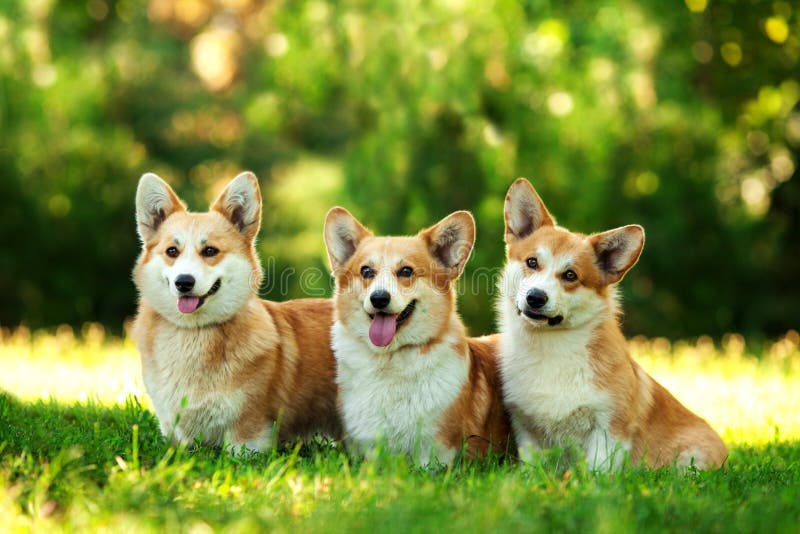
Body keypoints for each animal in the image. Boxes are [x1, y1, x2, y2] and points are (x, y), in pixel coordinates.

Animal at [133, 172, 340, 452]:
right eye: (171, 251)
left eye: (210, 251)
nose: (183, 282)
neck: (193, 333)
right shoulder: (174, 433)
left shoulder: (248, 435)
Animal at [496, 179, 728, 468]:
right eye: (532, 262)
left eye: (570, 275)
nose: (535, 297)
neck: (552, 346)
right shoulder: (526, 427)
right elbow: (533, 466)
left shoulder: (608, 428)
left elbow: (597, 470)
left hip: (691, 460)